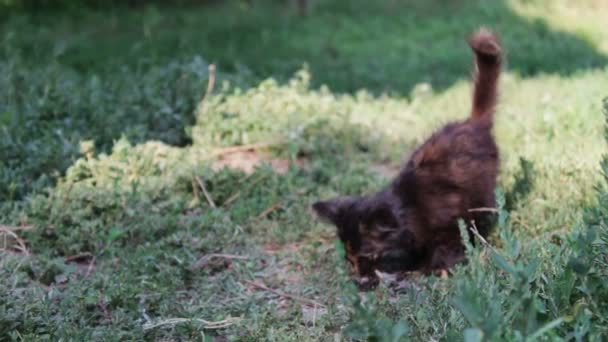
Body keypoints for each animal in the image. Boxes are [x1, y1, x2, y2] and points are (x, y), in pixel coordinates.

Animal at [312, 28, 502, 288]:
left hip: (482, 193)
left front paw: (439, 269)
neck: (410, 209)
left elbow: (448, 248)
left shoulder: (450, 224)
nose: (360, 279)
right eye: (350, 259)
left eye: (367, 256)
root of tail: (473, 121)